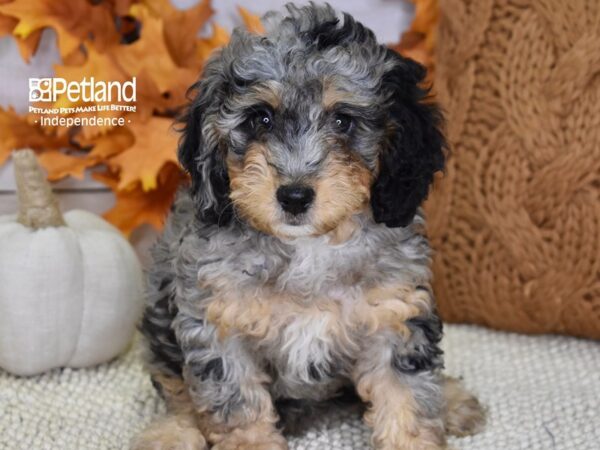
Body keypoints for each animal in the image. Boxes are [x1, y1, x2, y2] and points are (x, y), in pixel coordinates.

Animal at [134, 4, 486, 450]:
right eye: (261, 118)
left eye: (343, 120)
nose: (295, 196)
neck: (310, 248)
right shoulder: (217, 324)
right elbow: (236, 405)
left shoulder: (393, 314)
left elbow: (407, 397)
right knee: (175, 388)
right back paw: (169, 435)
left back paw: (454, 401)